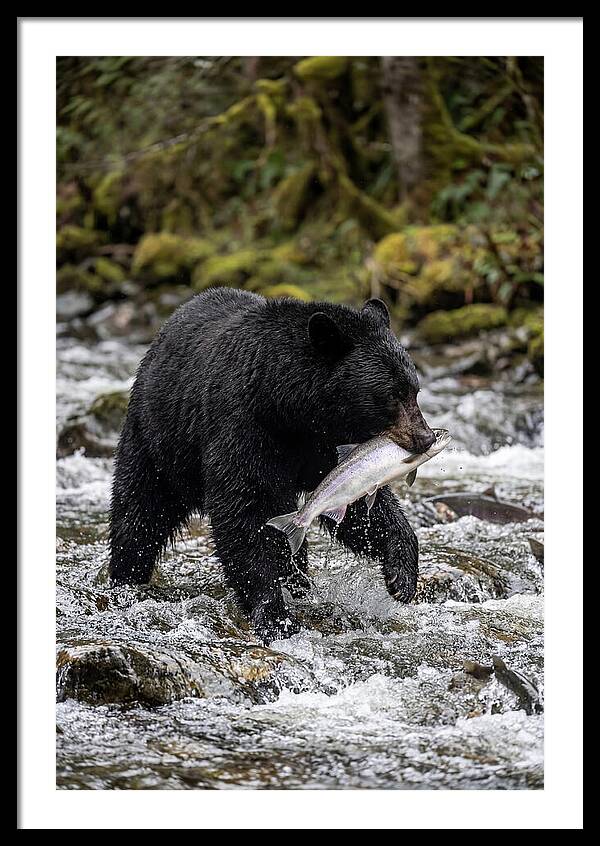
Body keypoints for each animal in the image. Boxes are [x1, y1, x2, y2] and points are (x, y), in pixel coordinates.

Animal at [109, 288, 435, 642]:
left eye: (414, 390)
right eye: (391, 395)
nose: (426, 438)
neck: (288, 407)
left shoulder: (326, 446)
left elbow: (357, 503)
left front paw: (401, 576)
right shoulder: (244, 427)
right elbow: (243, 512)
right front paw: (274, 615)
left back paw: (299, 582)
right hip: (159, 439)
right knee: (139, 511)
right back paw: (125, 579)